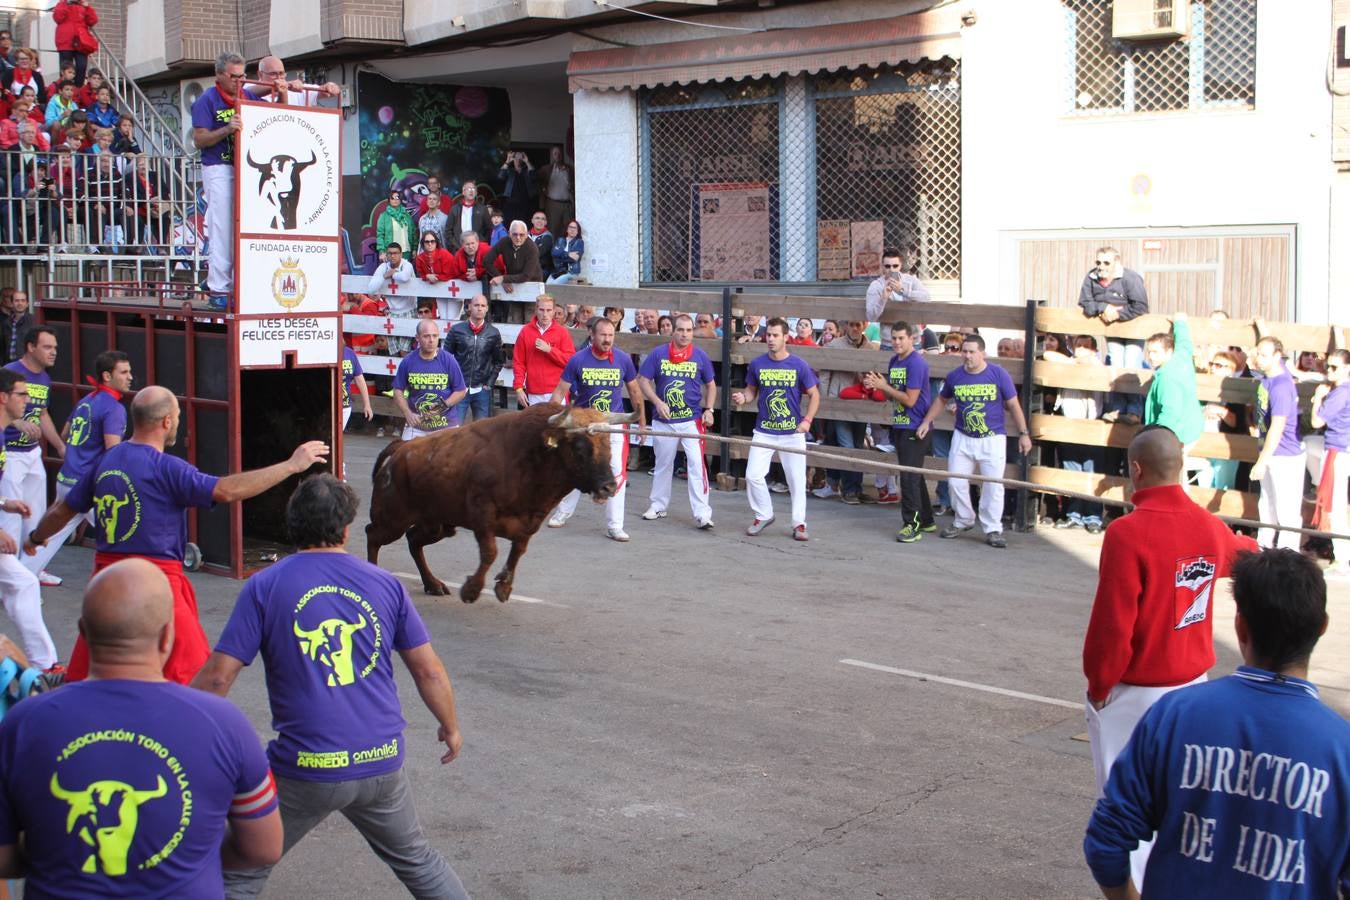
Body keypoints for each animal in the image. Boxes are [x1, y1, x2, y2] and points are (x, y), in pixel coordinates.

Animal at [364, 404, 637, 601]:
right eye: (580, 446)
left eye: (608, 446)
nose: (609, 486)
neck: (533, 456)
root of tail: (400, 449)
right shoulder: (482, 514)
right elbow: (490, 552)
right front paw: (472, 590)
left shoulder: (529, 522)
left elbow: (517, 552)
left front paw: (503, 587)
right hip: (393, 519)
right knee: (373, 535)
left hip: (438, 525)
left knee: (413, 540)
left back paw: (433, 584)